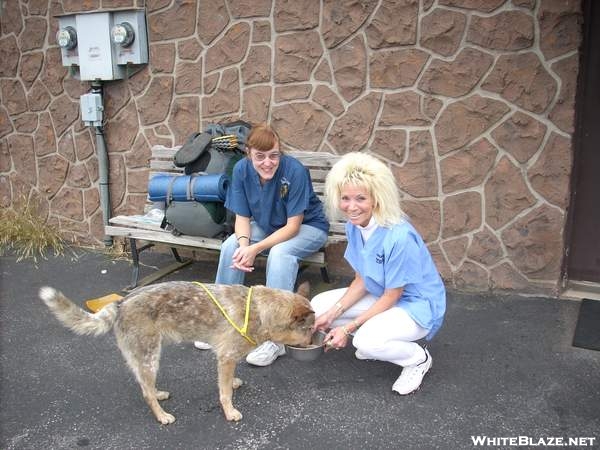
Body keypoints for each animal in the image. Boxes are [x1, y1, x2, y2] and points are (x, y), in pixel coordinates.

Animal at [38, 284, 314, 424]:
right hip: (151, 357)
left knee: (145, 387)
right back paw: (162, 416)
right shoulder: (225, 357)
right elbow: (224, 393)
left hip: (143, 359)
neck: (259, 309)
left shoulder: (225, 357)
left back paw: (159, 394)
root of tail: (121, 302)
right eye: (310, 329)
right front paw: (229, 412)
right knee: (146, 393)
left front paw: (234, 383)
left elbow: (228, 382)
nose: (314, 341)